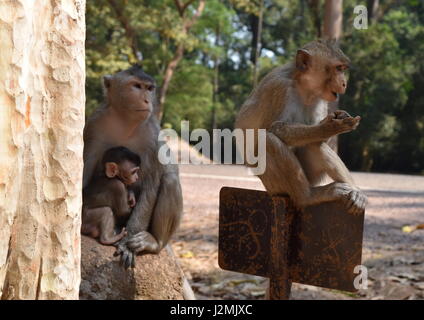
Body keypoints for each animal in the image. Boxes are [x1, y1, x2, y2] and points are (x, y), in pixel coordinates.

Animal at [83, 64, 182, 268]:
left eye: (150, 88)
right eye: (136, 86)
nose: (147, 100)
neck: (126, 122)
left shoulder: (152, 135)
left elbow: (151, 185)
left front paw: (128, 245)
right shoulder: (95, 124)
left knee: (169, 180)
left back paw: (154, 242)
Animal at [235, 40, 368, 215]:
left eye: (343, 69)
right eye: (338, 68)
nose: (344, 83)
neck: (303, 87)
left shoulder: (321, 99)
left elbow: (317, 139)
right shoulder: (279, 88)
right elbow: (274, 128)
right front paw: (327, 128)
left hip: (311, 177)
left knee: (314, 144)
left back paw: (355, 192)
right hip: (274, 186)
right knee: (269, 141)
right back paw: (308, 196)